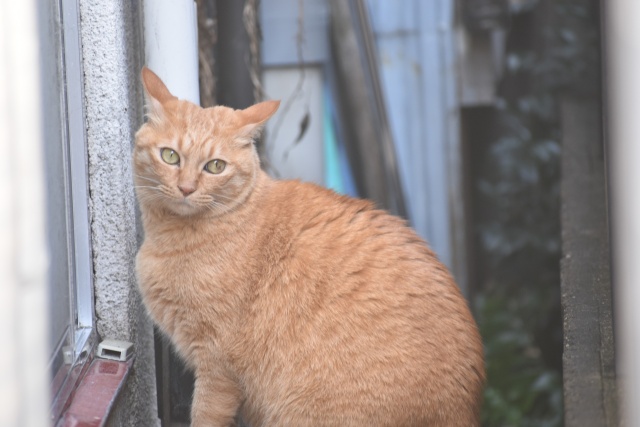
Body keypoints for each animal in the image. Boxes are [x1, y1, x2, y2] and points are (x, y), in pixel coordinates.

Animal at [136, 67, 484, 427]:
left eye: (215, 166)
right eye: (170, 156)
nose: (186, 188)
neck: (171, 237)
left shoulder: (217, 367)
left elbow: (204, 416)